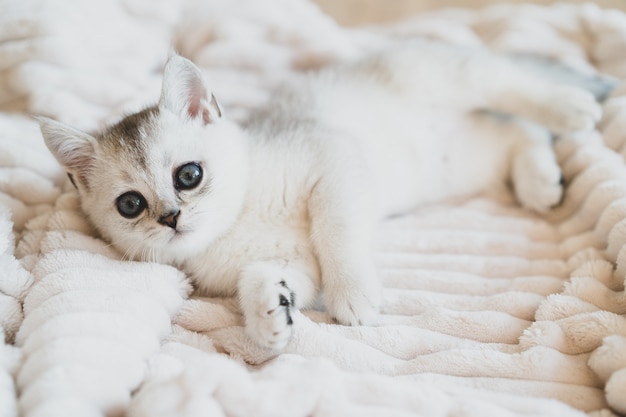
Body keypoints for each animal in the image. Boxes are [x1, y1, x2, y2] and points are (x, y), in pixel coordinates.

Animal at [39, 39, 608, 348]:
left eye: (188, 175)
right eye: (130, 204)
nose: (171, 217)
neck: (238, 221)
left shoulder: (332, 159)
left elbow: (336, 230)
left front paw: (354, 295)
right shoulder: (290, 260)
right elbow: (269, 278)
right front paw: (268, 317)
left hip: (442, 76)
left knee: (509, 88)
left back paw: (571, 107)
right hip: (465, 161)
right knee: (515, 131)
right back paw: (539, 180)